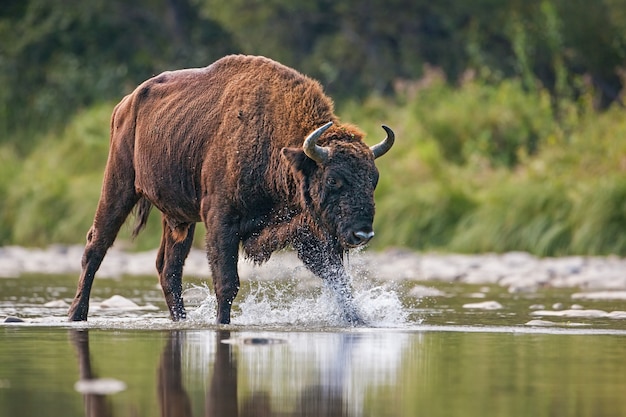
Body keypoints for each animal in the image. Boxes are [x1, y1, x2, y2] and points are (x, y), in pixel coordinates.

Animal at [66, 53, 392, 324]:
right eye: (334, 180)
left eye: (373, 179)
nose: (363, 234)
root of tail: (125, 104)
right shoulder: (221, 222)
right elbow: (227, 282)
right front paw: (222, 324)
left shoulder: (305, 229)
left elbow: (337, 280)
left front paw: (360, 321)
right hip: (118, 186)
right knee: (96, 246)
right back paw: (76, 315)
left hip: (178, 219)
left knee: (168, 268)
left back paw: (180, 320)